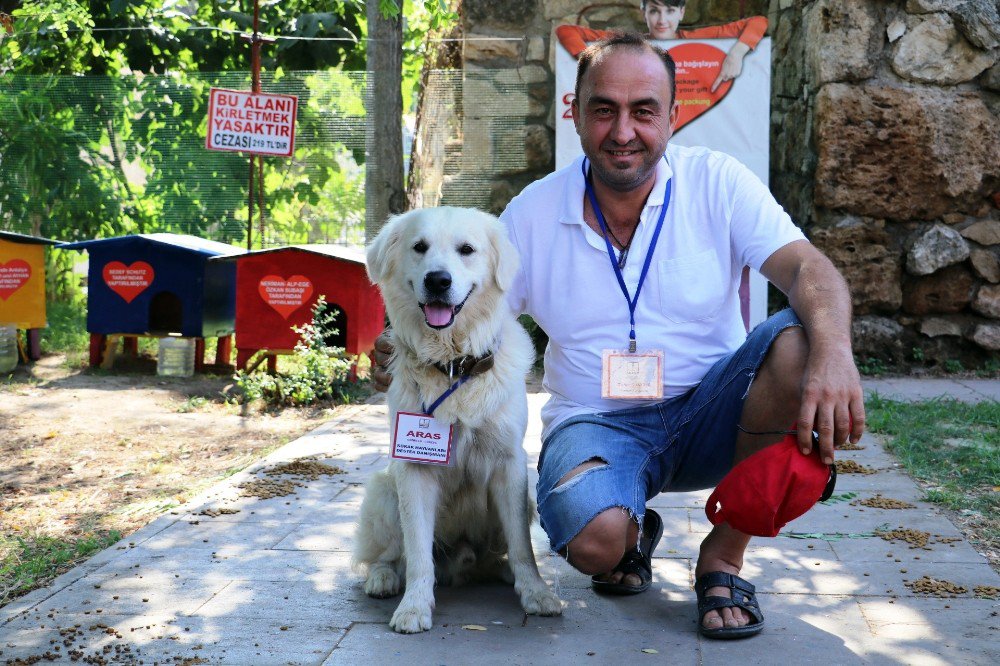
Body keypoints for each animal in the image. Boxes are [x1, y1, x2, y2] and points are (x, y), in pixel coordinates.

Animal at [356, 208, 564, 632]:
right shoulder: (413, 469)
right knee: (389, 555)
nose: (438, 280)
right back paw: (383, 578)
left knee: (497, 555)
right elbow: (418, 554)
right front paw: (414, 607)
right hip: (384, 491)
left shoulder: (509, 463)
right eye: (419, 247)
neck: (453, 364)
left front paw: (536, 593)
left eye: (466, 250)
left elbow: (523, 546)